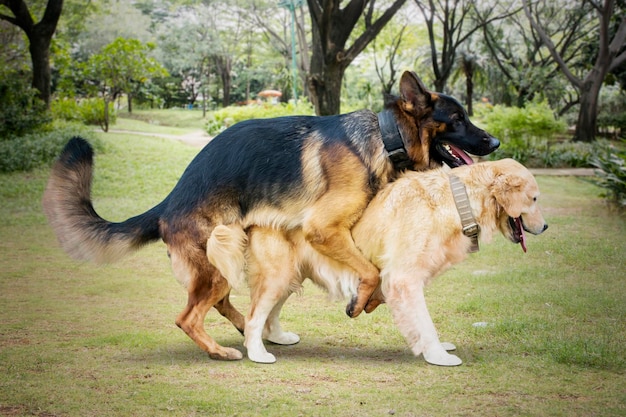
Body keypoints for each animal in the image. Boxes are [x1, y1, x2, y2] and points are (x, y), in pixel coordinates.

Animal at [42, 70, 498, 358]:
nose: (494, 142)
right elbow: (369, 271)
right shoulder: (324, 229)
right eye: (458, 118)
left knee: (223, 304)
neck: (386, 138)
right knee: (187, 317)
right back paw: (222, 351)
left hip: (224, 261)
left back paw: (248, 331)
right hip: (215, 263)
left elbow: (374, 272)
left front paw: (368, 301)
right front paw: (360, 303)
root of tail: (168, 203)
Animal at [206, 158, 544, 364]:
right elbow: (424, 322)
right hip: (277, 275)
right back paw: (257, 352)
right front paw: (438, 355)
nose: (546, 227)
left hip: (290, 276)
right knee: (254, 316)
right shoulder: (404, 280)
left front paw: (430, 348)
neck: (458, 199)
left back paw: (275, 338)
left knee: (268, 313)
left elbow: (417, 322)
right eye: (535, 198)